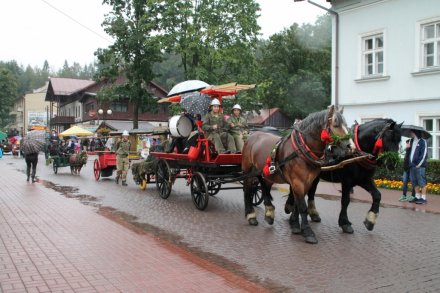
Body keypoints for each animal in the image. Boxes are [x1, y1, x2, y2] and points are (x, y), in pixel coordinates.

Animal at [242, 105, 352, 242]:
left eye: (346, 124)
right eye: (336, 124)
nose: (349, 146)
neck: (301, 150)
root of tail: (253, 134)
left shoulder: (307, 182)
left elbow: (297, 204)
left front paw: (295, 224)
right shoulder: (297, 182)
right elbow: (302, 206)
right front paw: (308, 231)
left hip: (265, 172)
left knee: (263, 185)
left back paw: (269, 212)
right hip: (248, 169)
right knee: (247, 189)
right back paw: (251, 215)